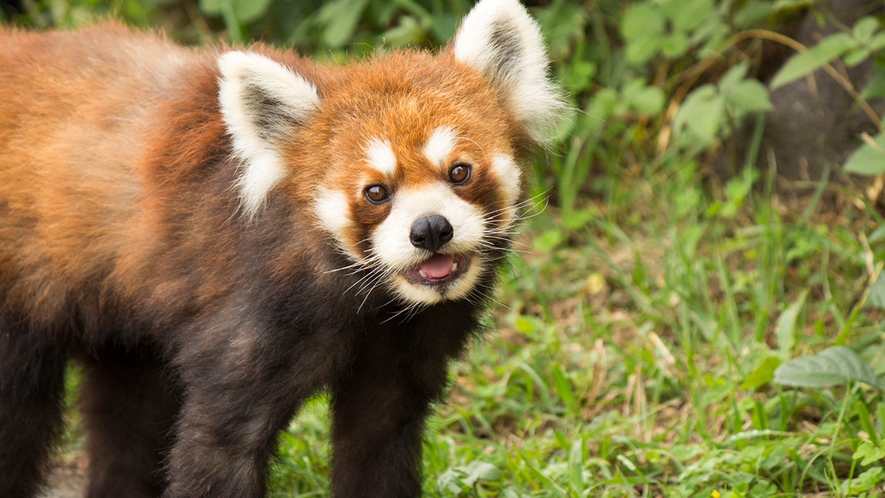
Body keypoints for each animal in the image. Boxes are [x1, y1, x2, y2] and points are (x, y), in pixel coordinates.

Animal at [0, 0, 564, 498]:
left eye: (459, 172)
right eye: (376, 192)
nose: (429, 230)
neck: (373, 302)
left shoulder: (408, 345)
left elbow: (378, 440)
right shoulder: (254, 316)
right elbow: (221, 444)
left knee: (126, 412)